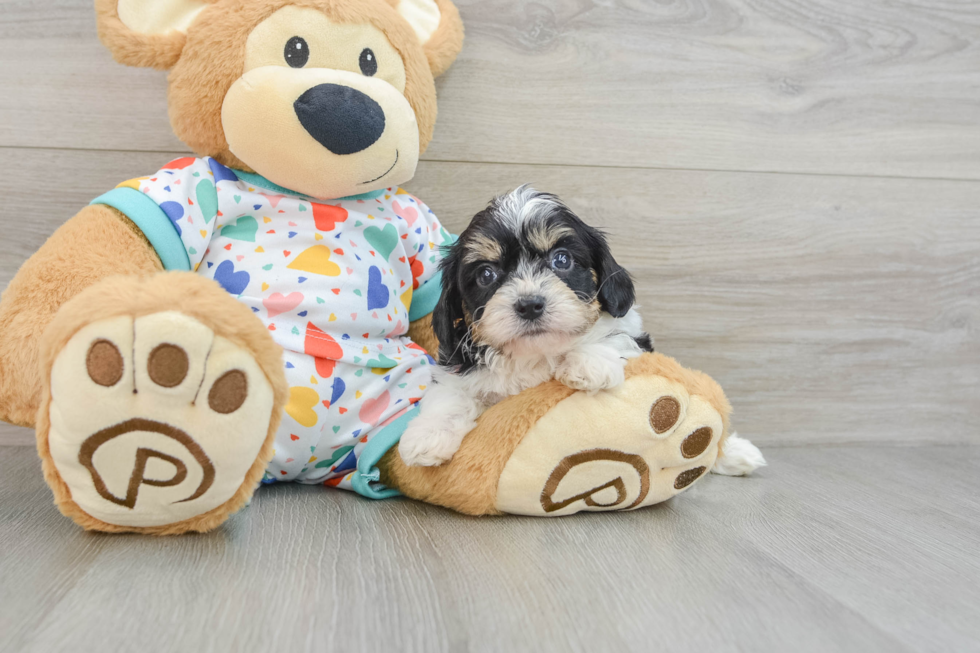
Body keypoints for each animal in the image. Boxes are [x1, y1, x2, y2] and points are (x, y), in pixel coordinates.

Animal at [398, 186, 652, 466]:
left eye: (562, 260)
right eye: (486, 274)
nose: (529, 305)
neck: (533, 354)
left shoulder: (634, 334)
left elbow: (617, 335)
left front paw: (591, 363)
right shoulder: (456, 367)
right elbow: (448, 393)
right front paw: (428, 435)